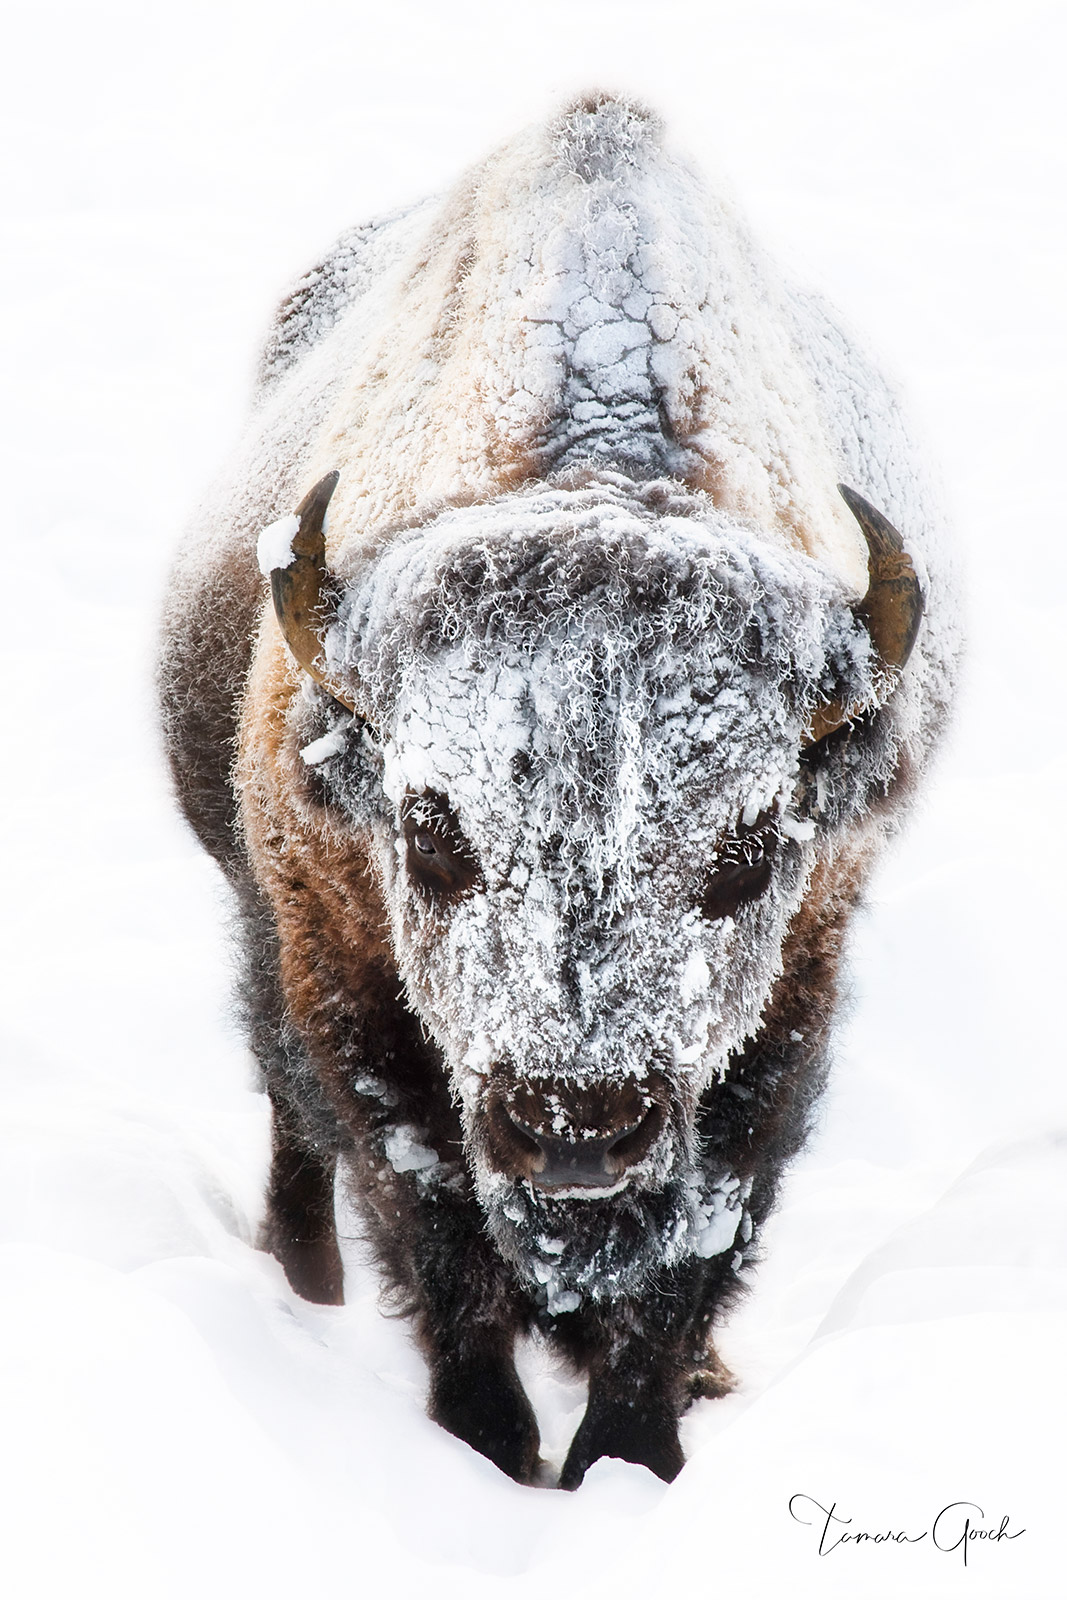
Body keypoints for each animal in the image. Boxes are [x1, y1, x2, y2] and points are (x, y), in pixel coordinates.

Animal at [158, 90, 959, 1484]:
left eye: (747, 853)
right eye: (431, 835)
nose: (577, 1129)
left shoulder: (788, 993)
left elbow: (687, 1254)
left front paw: (633, 1454)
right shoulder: (342, 972)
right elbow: (437, 1236)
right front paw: (491, 1451)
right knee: (294, 1129)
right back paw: (305, 1282)